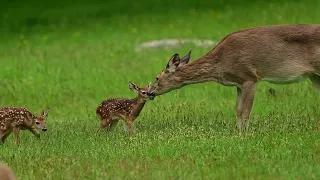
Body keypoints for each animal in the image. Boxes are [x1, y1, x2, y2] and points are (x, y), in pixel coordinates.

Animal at [148, 23, 320, 131]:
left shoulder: (249, 77)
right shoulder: (238, 83)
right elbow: (238, 109)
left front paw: (244, 134)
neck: (220, 64)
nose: (149, 92)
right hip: (314, 76)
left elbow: (245, 111)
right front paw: (238, 131)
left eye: (157, 77)